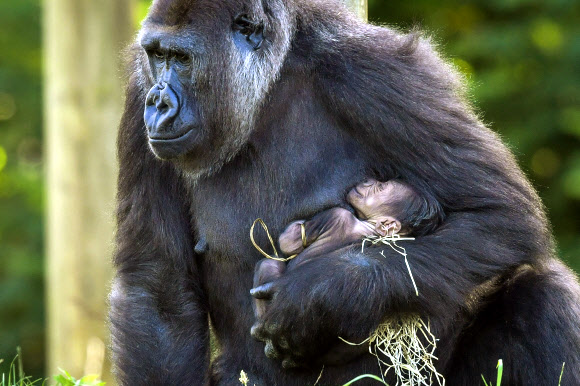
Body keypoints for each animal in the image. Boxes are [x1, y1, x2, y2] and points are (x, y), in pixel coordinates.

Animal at [251, 178, 438, 320]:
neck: (369, 227)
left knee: (267, 265)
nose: (369, 181)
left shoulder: (335, 215)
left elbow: (289, 242)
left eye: (380, 188)